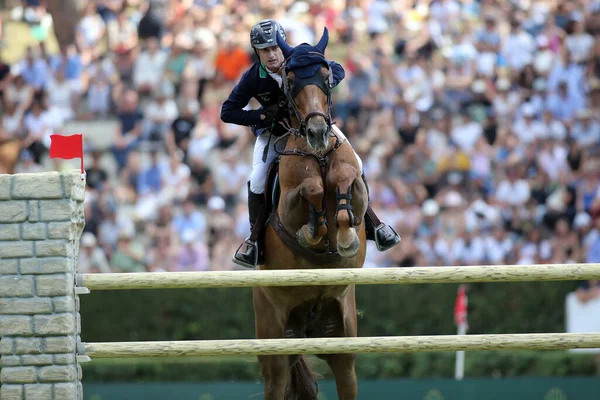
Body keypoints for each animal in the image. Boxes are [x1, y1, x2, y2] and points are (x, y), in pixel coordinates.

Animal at [252, 28, 366, 400]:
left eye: (326, 76)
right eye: (289, 81)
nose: (316, 132)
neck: (318, 155)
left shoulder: (356, 187)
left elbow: (344, 181)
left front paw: (344, 237)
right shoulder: (287, 206)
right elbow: (312, 190)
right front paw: (314, 231)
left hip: (342, 339)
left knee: (346, 376)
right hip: (274, 342)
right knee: (276, 380)